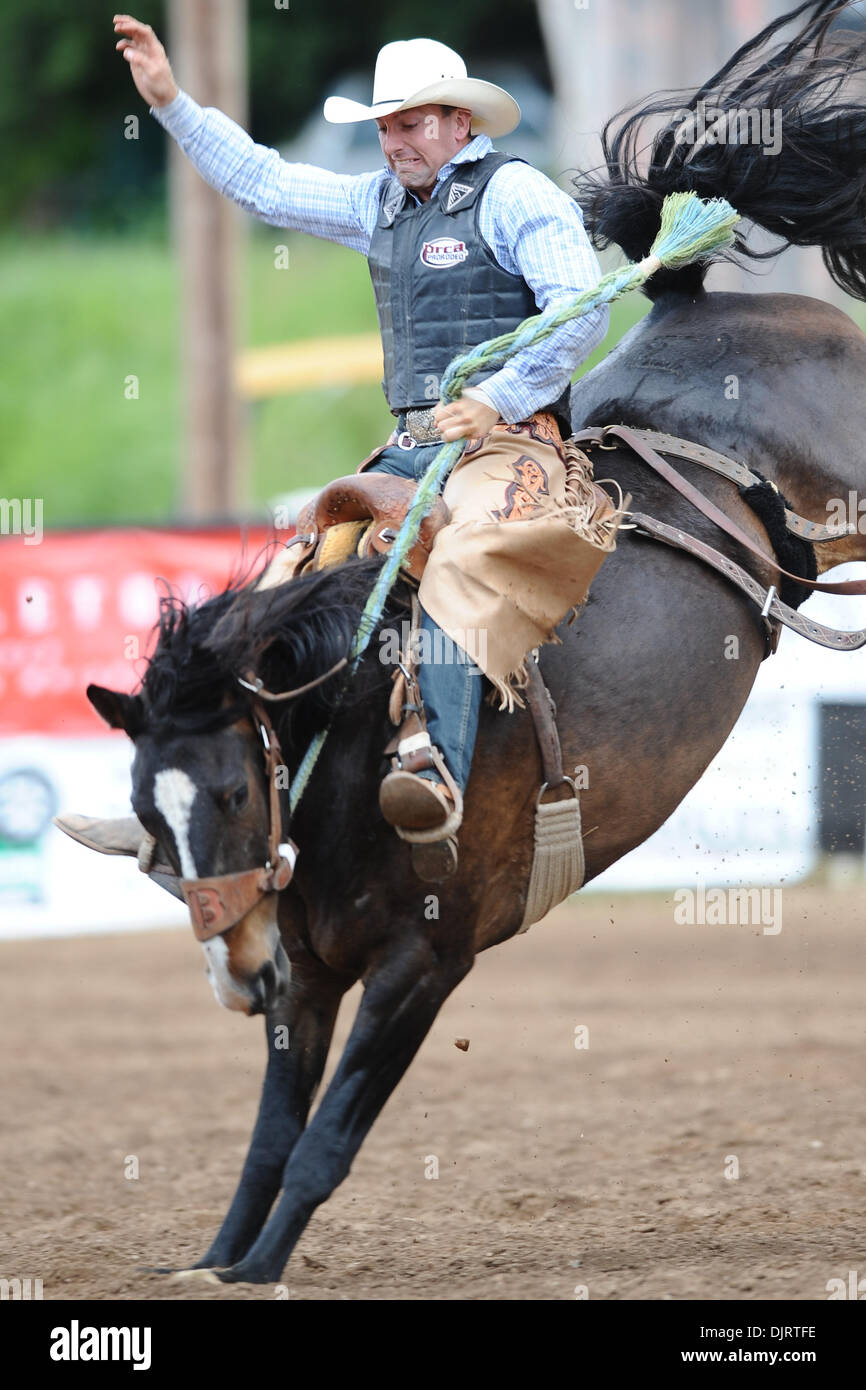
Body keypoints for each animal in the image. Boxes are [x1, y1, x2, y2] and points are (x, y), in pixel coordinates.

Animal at [76, 0, 866, 1278]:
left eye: (233, 795)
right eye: (152, 818)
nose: (235, 976)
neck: (340, 738)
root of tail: (692, 299)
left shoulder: (423, 964)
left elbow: (322, 1144)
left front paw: (260, 1267)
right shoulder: (310, 974)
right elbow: (266, 1140)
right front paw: (221, 1262)